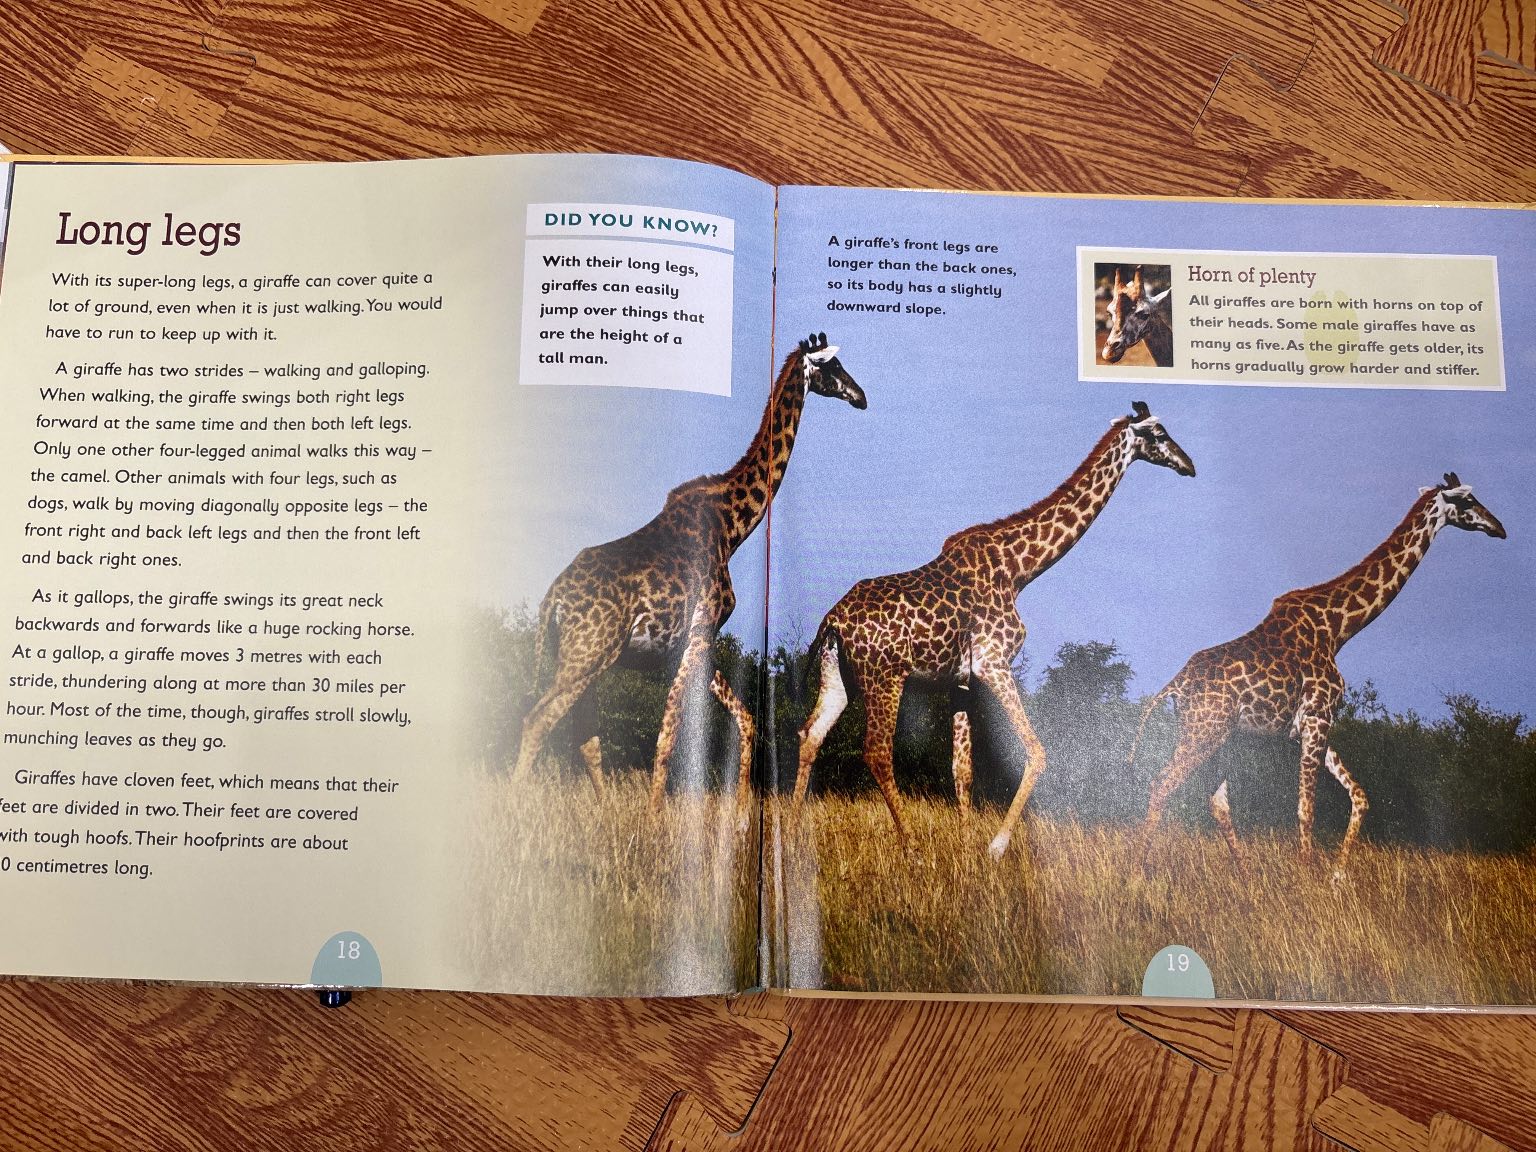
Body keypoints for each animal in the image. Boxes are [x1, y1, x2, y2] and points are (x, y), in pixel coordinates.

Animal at [512, 334, 865, 824]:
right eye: (833, 368)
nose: (862, 396)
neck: (731, 528)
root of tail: (553, 600)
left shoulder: (699, 640)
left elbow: (746, 720)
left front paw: (740, 816)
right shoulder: (700, 631)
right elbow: (669, 734)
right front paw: (657, 818)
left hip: (590, 657)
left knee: (585, 738)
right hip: (587, 652)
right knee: (538, 720)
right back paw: (513, 811)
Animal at [794, 402, 1195, 857]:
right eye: (1159, 433)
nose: (1189, 465)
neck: (1020, 570)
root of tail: (832, 620)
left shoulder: (961, 680)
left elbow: (962, 768)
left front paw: (968, 846)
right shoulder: (993, 663)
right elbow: (1037, 752)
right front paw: (996, 846)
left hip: (839, 674)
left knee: (810, 735)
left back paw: (790, 832)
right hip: (885, 676)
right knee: (877, 751)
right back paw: (911, 845)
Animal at [1131, 473, 1506, 879]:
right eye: (1468, 501)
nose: (1499, 528)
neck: (1339, 628)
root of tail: (1175, 686)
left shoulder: (1318, 723)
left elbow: (1360, 796)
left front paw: (1338, 874)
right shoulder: (1316, 719)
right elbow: (1306, 807)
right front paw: (1309, 873)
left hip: (1222, 737)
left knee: (1215, 799)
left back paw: (1245, 874)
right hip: (1205, 731)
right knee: (1161, 784)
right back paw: (1136, 871)